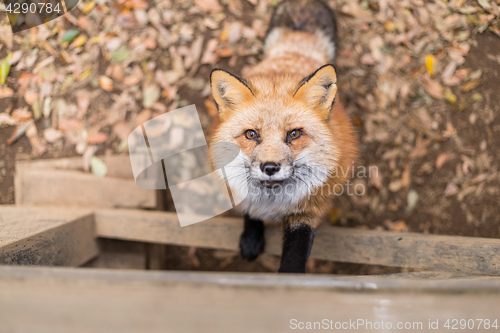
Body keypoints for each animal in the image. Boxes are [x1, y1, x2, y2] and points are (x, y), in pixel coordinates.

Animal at [209, 0, 358, 272]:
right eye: (251, 134)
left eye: (294, 134)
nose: (270, 167)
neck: (272, 202)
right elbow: (250, 213)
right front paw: (251, 238)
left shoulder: (307, 212)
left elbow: (294, 257)